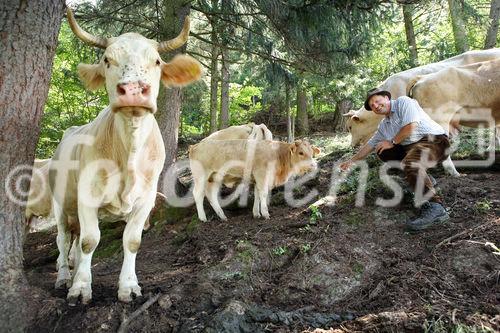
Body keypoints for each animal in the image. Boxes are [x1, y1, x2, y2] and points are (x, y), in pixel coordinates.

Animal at [49, 8, 200, 304]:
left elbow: (131, 241)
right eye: (107, 60)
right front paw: (81, 288)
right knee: (64, 239)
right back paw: (64, 278)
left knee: (74, 240)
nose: (132, 90)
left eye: (157, 61)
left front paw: (128, 286)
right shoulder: (87, 196)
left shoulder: (146, 199)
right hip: (60, 202)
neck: (128, 155)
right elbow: (90, 241)